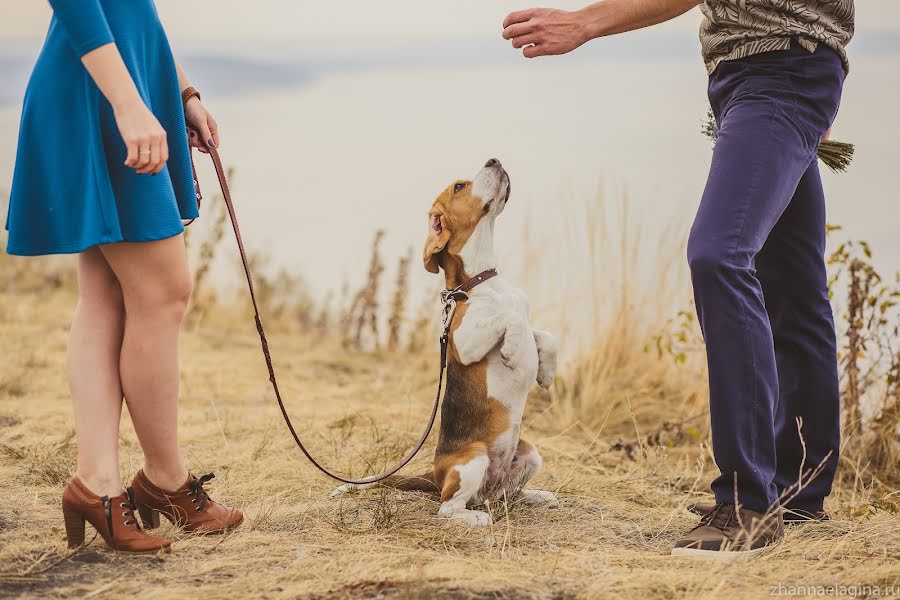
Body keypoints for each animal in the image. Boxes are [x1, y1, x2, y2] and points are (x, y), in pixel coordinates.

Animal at [330, 158, 556, 524]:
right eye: (459, 187)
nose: (494, 159)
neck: (482, 281)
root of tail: (436, 476)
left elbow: (544, 333)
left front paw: (547, 369)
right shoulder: (463, 342)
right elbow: (509, 317)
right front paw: (511, 347)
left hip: (530, 454)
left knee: (504, 495)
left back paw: (535, 496)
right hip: (473, 461)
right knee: (449, 507)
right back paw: (477, 518)